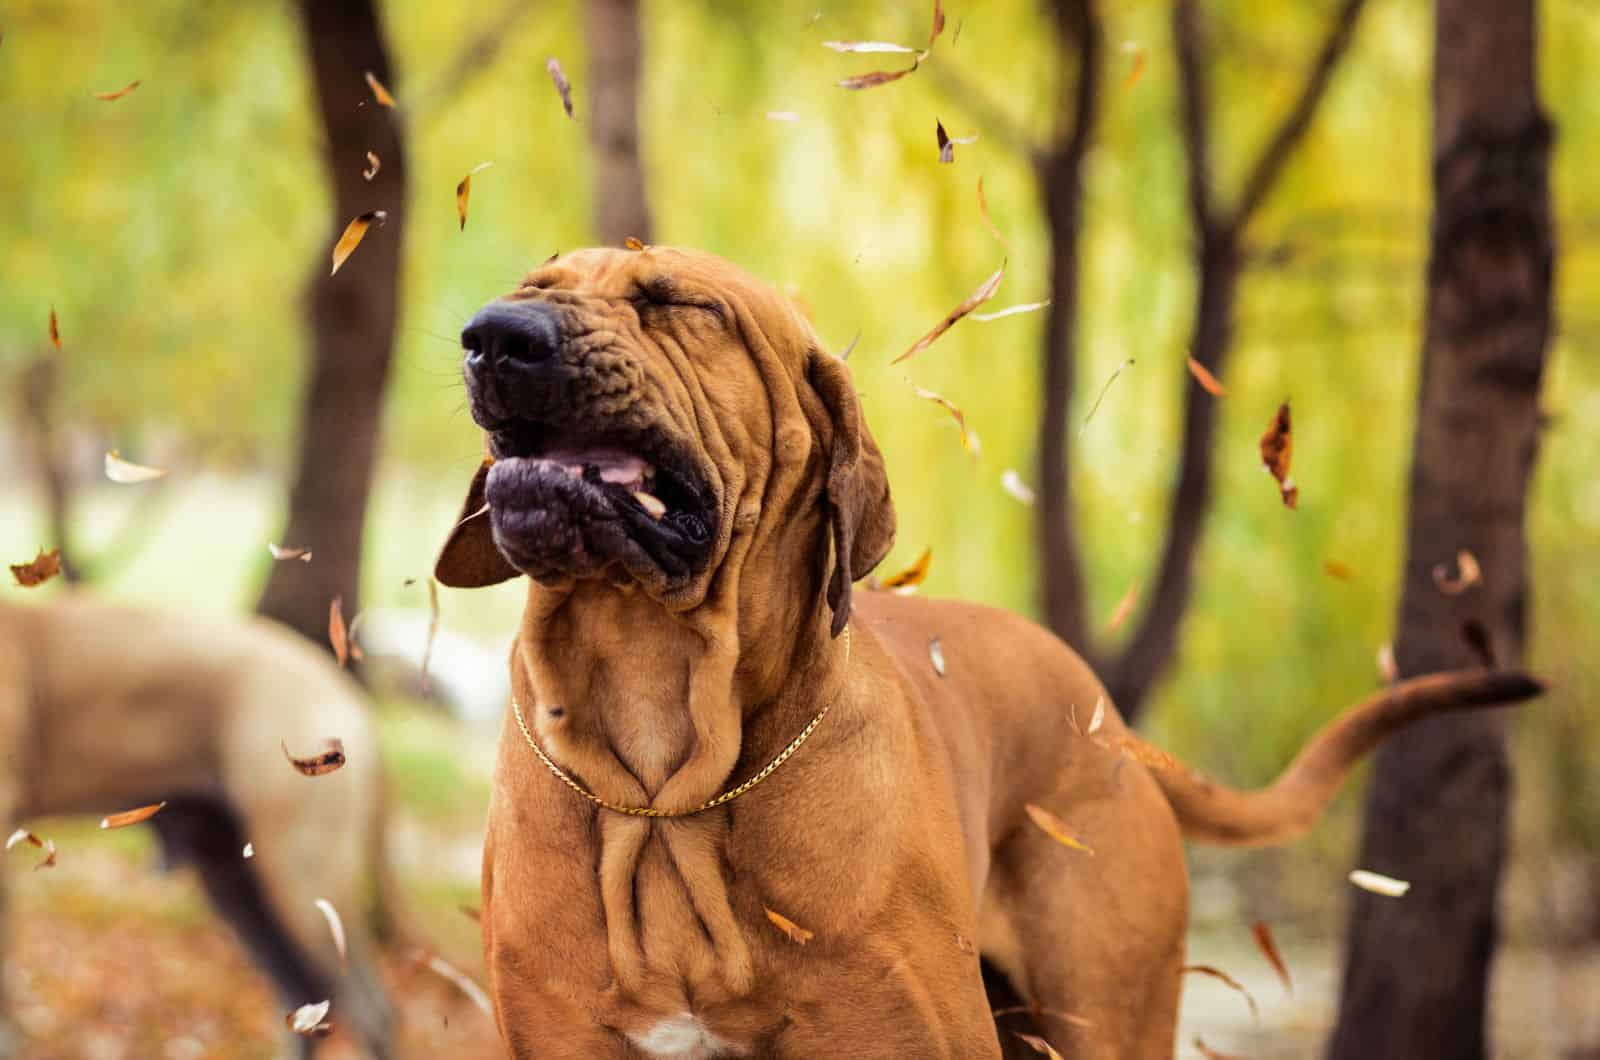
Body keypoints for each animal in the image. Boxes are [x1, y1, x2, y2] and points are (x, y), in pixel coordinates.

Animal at [435, 244, 1536, 1056]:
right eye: (535, 288)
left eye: (678, 304)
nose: (493, 336)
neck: (667, 779)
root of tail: (1109, 721)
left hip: (1104, 1009)